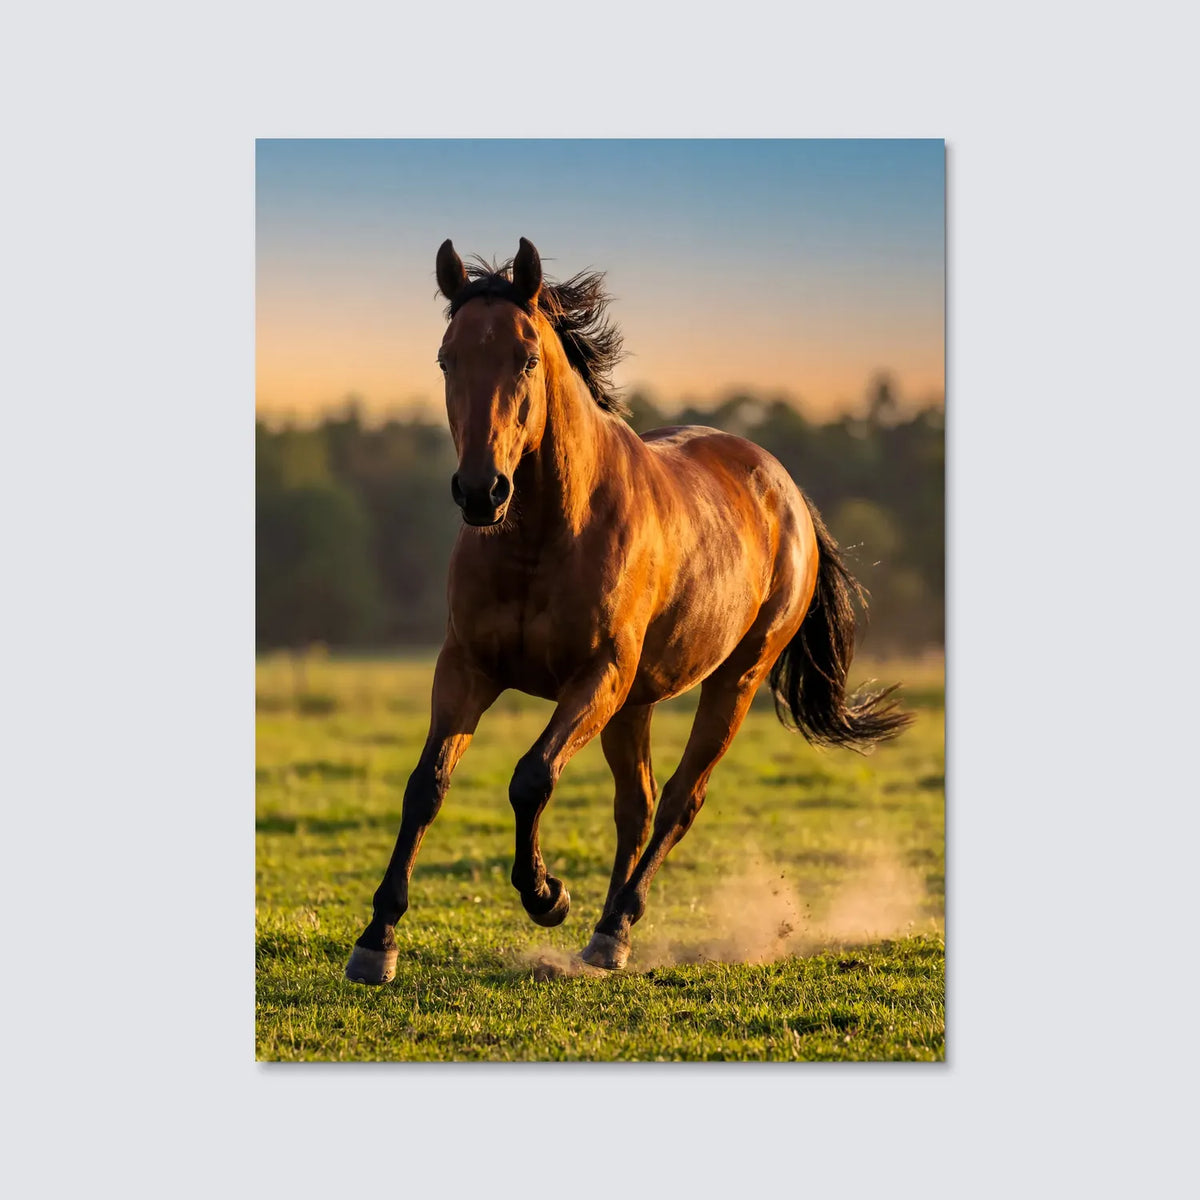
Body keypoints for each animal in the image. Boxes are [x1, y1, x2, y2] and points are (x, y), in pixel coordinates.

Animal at [345, 237, 911, 983]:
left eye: (526, 357)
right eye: (447, 358)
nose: (480, 491)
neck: (544, 534)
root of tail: (786, 492)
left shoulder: (597, 677)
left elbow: (532, 777)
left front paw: (547, 895)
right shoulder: (467, 669)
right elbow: (426, 786)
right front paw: (377, 939)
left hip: (732, 682)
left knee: (678, 800)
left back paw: (615, 924)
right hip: (636, 702)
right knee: (636, 807)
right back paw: (604, 936)